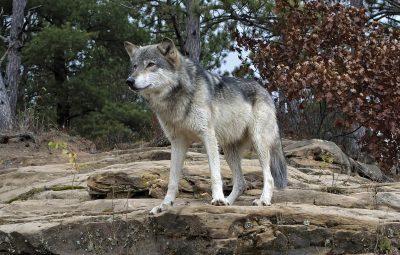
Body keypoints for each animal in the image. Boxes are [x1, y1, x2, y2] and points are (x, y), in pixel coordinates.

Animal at [123, 37, 286, 213]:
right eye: (135, 66)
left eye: (150, 64)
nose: (129, 81)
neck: (177, 97)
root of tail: (266, 91)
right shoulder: (177, 142)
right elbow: (172, 179)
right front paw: (164, 206)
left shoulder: (208, 136)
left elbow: (214, 173)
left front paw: (218, 199)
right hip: (229, 152)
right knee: (241, 183)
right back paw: (229, 202)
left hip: (257, 142)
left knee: (269, 177)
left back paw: (262, 200)